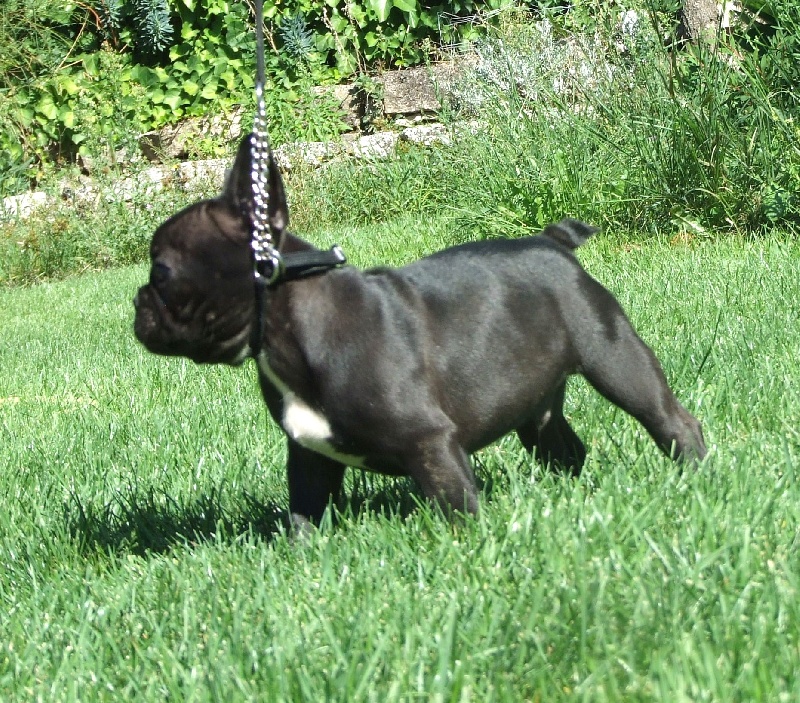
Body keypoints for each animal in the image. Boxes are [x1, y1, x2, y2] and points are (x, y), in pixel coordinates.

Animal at [134, 134, 706, 530]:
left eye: (160, 272)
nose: (136, 300)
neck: (288, 328)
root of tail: (554, 243)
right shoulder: (310, 457)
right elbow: (304, 514)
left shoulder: (430, 442)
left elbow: (456, 507)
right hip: (536, 404)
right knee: (561, 445)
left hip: (614, 355)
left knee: (669, 419)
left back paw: (696, 472)